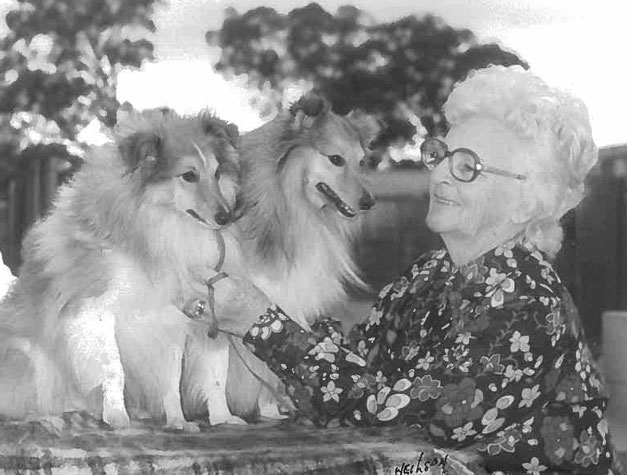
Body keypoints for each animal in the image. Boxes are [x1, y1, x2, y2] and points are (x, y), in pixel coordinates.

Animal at [0, 109, 240, 432]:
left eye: (216, 173)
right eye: (188, 175)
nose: (226, 217)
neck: (156, 222)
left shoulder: (169, 318)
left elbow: (173, 381)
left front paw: (182, 420)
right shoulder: (94, 311)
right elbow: (114, 370)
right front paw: (118, 418)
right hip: (25, 355)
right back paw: (51, 417)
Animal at [179, 95, 380, 422]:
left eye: (362, 162)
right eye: (336, 159)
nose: (369, 202)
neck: (289, 203)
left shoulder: (284, 297)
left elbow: (270, 366)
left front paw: (271, 409)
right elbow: (219, 366)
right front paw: (223, 415)